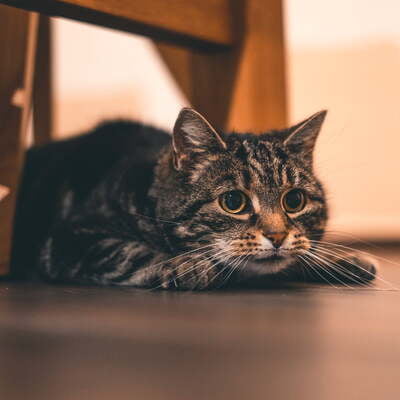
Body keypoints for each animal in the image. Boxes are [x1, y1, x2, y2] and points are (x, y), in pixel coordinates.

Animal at [10, 108, 378, 290]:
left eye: (294, 201)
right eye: (233, 202)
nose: (277, 236)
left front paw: (341, 260)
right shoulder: (70, 237)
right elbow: (130, 252)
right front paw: (193, 265)